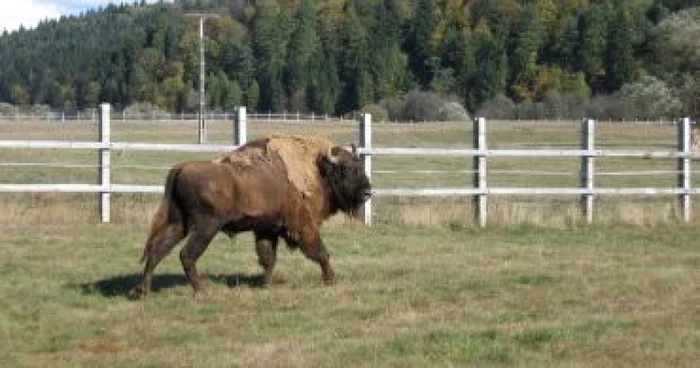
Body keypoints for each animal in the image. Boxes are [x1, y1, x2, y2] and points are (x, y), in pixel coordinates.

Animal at [129, 135, 374, 300]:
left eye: (360, 166)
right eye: (346, 169)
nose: (367, 192)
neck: (317, 169)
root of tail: (181, 168)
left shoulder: (267, 229)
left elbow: (268, 259)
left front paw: (266, 286)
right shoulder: (303, 226)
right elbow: (321, 252)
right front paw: (331, 279)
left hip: (179, 223)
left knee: (157, 249)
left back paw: (142, 291)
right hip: (207, 226)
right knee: (186, 254)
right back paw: (202, 290)